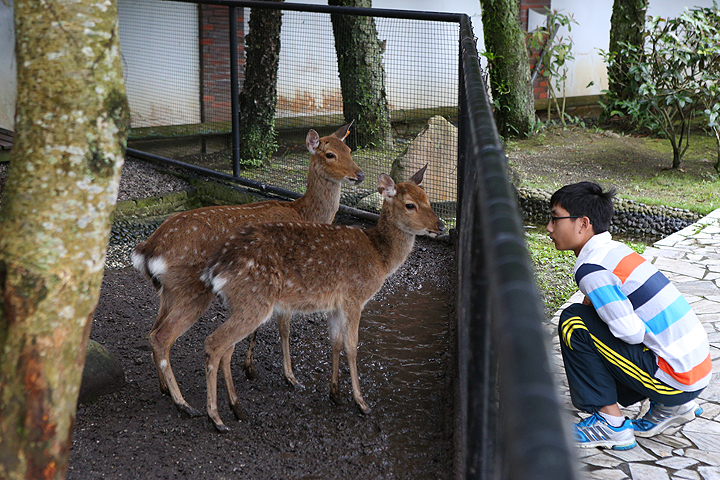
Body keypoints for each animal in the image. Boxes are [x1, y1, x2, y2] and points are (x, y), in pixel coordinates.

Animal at [131, 123, 362, 416]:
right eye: (330, 154)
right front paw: (291, 377)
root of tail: (149, 249)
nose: (360, 174)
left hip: (167, 290)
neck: (303, 214)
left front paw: (249, 368)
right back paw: (184, 403)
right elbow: (284, 328)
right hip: (190, 288)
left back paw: (164, 388)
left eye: (349, 149)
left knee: (152, 332)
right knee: (162, 337)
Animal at [198, 167, 444, 434]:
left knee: (226, 349)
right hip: (254, 301)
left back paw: (237, 409)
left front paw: (334, 393)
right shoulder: (353, 298)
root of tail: (215, 269)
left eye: (428, 199)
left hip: (241, 304)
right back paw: (216, 418)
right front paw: (361, 402)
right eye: (410, 205)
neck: (379, 258)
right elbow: (352, 346)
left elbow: (335, 342)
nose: (441, 226)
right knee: (214, 342)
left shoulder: (335, 305)